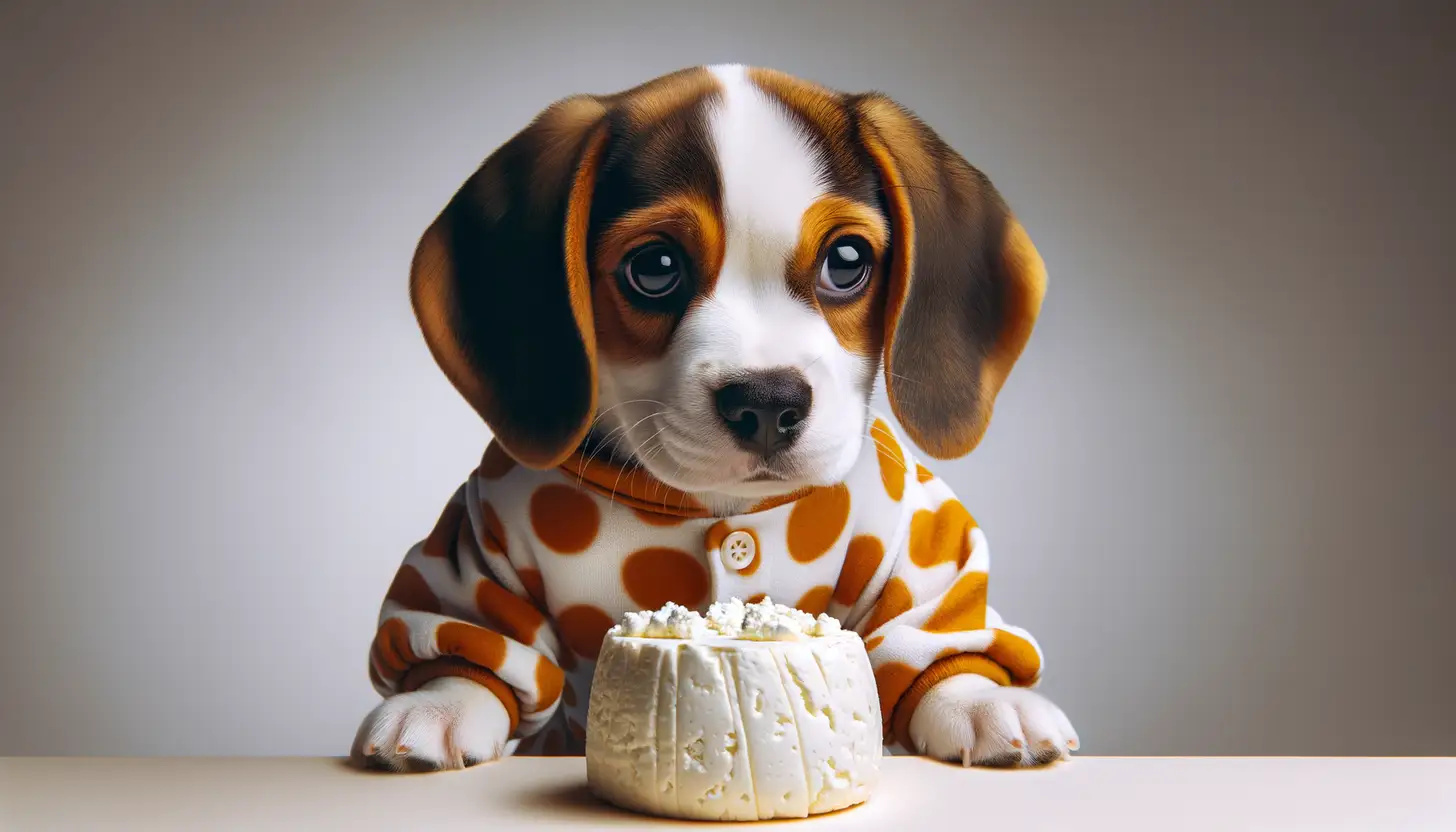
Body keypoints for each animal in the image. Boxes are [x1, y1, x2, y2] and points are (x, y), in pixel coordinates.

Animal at [353, 65, 1083, 775]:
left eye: (847, 261)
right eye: (654, 266)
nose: (767, 401)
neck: (718, 505)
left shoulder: (916, 541)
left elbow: (932, 633)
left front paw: (980, 697)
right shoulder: (480, 546)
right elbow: (473, 635)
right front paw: (442, 700)